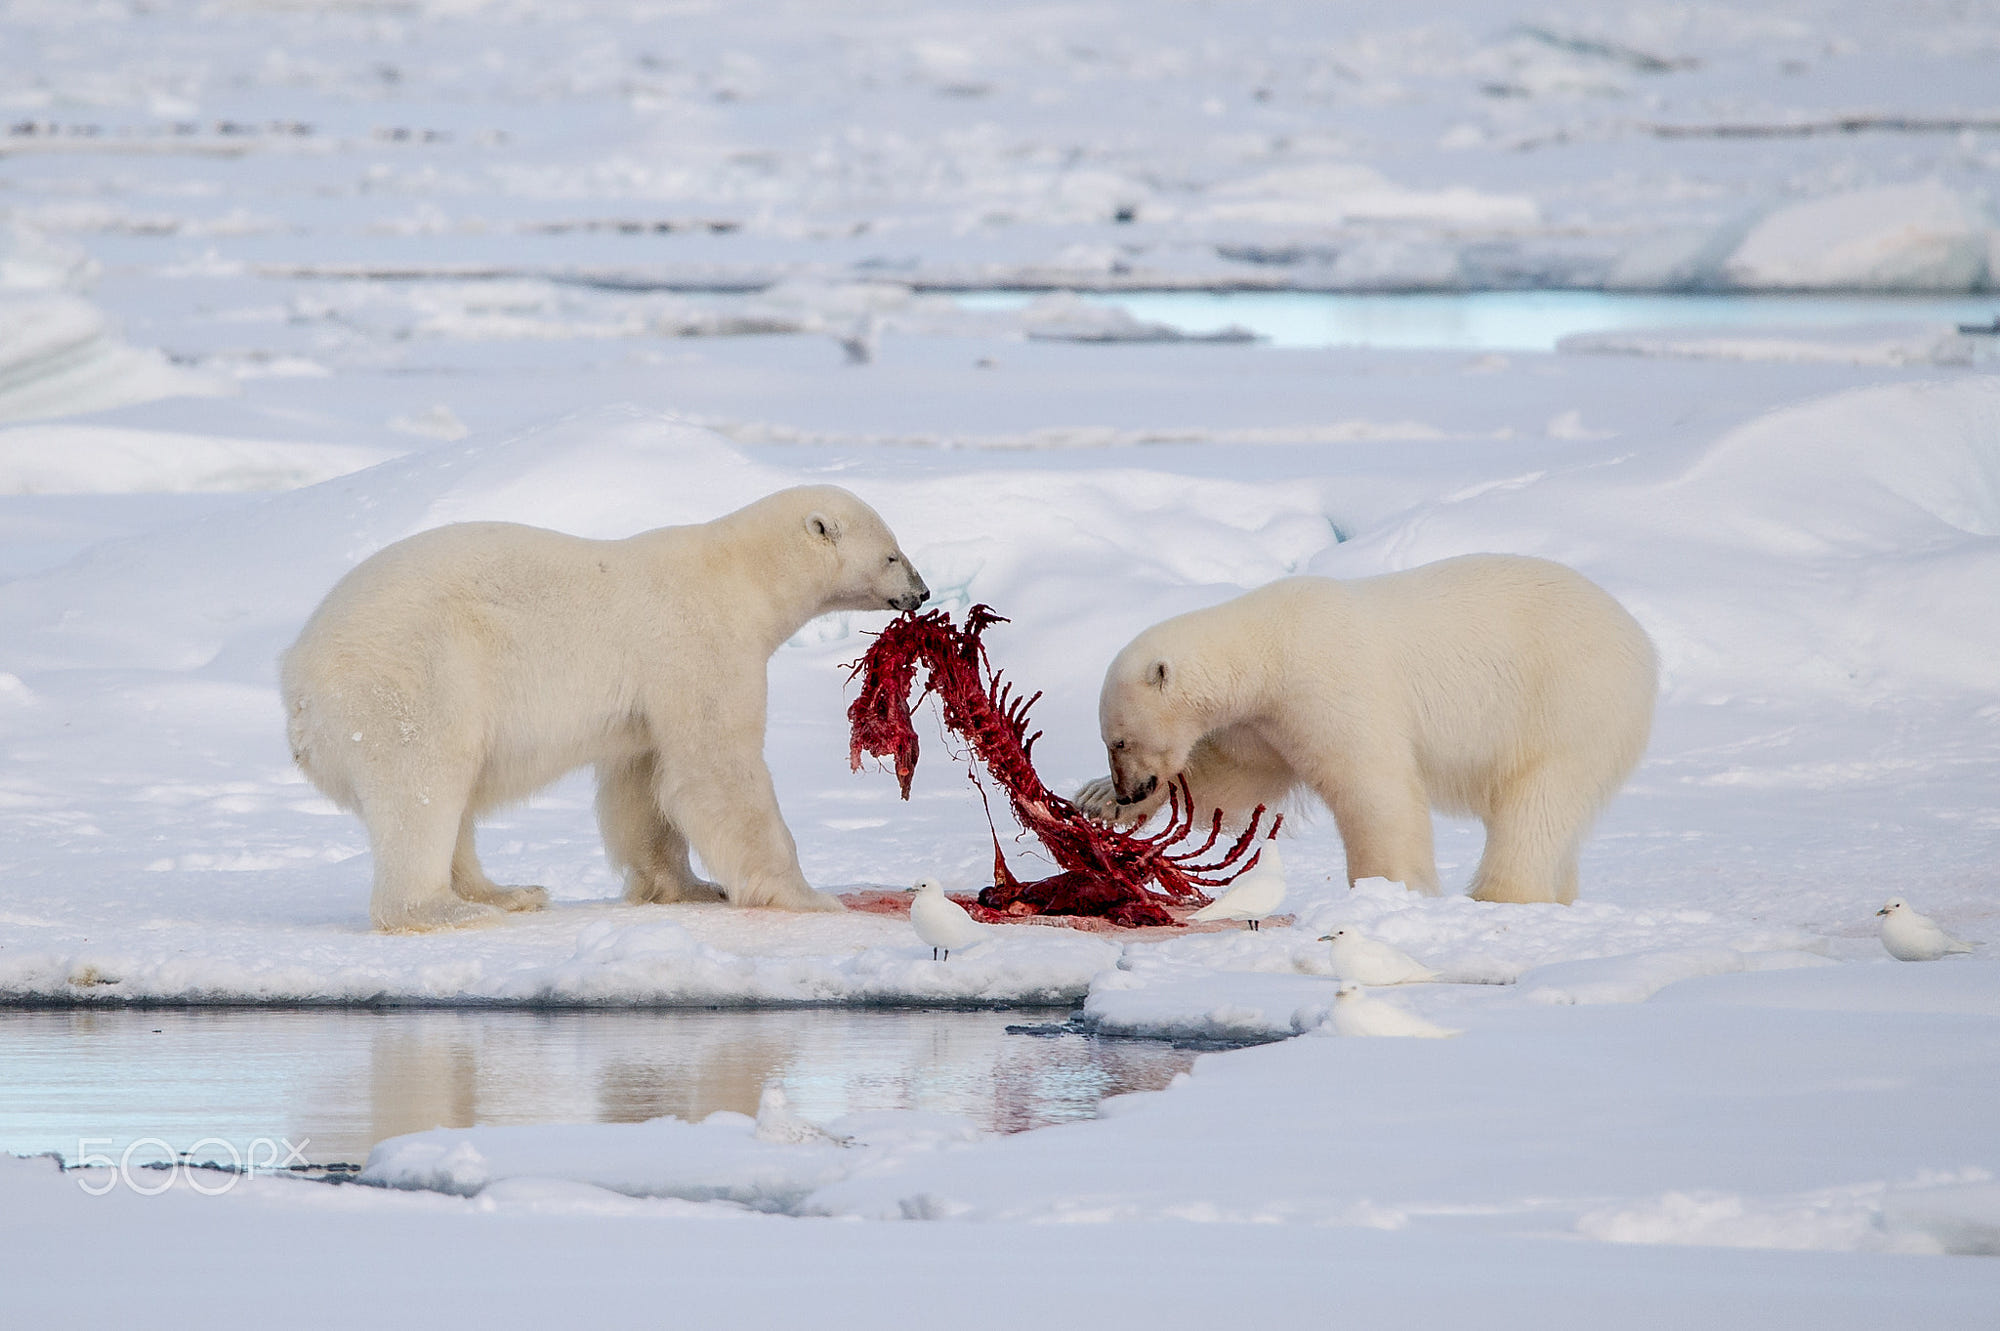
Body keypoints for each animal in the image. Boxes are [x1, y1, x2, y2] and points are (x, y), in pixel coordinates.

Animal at [281, 485, 928, 932]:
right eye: (892, 554)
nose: (921, 592)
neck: (740, 574)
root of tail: (298, 682)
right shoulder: (698, 643)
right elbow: (718, 767)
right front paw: (810, 897)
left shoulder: (648, 700)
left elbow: (644, 786)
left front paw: (689, 887)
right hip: (410, 675)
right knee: (423, 781)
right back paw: (449, 909)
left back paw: (507, 892)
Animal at [1074, 556, 1655, 904]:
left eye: (1119, 739)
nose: (1129, 788)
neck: (1271, 646)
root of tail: (1640, 643)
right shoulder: (1265, 724)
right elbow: (1233, 778)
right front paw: (1096, 801)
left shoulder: (1327, 684)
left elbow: (1373, 787)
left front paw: (1387, 890)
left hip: (1569, 703)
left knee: (1537, 806)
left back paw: (1499, 897)